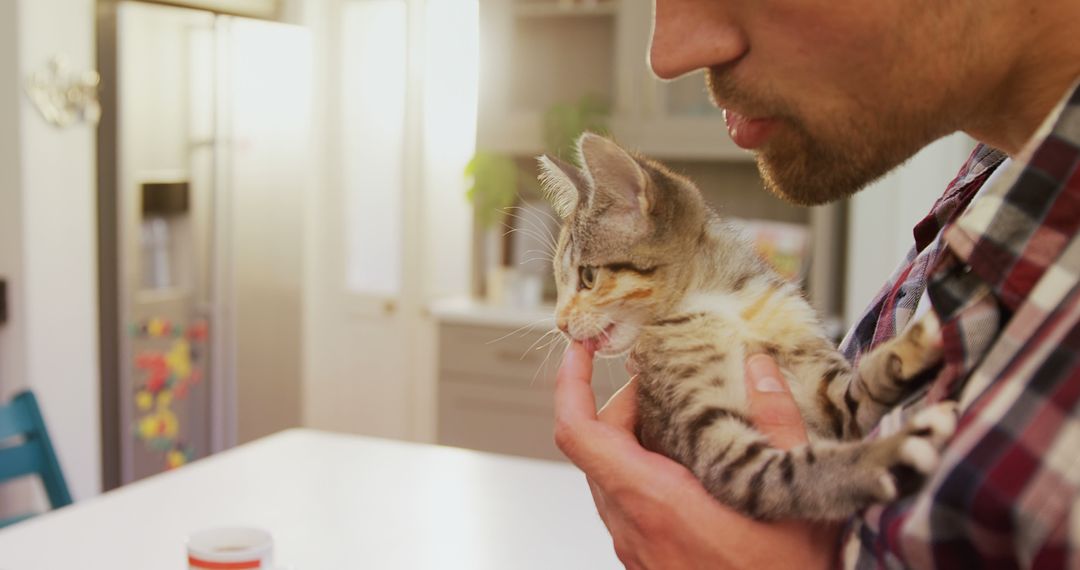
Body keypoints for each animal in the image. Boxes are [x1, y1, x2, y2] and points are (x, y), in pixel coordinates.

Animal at [544, 132, 959, 520]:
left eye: (587, 276)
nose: (559, 323)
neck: (720, 303)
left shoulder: (816, 373)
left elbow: (855, 393)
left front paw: (915, 344)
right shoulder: (711, 438)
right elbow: (790, 473)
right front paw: (887, 456)